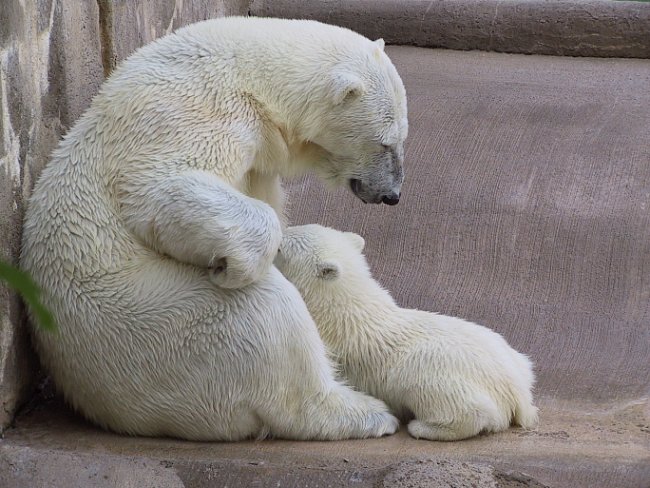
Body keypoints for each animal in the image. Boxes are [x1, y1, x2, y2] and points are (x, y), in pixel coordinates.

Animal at [20, 17, 404, 440]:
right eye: (386, 142)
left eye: (401, 138)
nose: (392, 194)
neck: (253, 78)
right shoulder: (191, 112)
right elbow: (159, 186)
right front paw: (235, 265)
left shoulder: (257, 159)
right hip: (146, 320)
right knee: (263, 312)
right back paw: (366, 412)